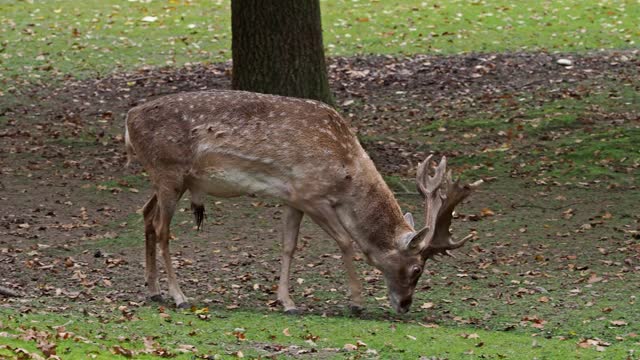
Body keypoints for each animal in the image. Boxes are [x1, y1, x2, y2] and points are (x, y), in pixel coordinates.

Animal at [124, 90, 480, 316]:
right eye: (418, 268)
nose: (405, 305)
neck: (346, 171)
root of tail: (128, 120)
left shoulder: (292, 197)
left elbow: (288, 246)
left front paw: (287, 302)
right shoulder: (311, 194)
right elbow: (346, 242)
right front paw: (356, 302)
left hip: (168, 179)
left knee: (146, 214)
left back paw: (154, 290)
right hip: (169, 172)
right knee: (162, 228)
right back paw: (179, 296)